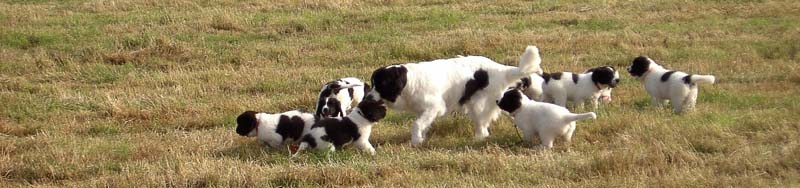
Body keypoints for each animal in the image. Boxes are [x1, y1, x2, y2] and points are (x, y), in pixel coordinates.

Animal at [368, 45, 544, 145]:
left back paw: (477, 139)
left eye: (381, 85)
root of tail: (498, 69)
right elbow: (422, 124)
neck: (409, 81)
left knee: (482, 128)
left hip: (478, 106)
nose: (368, 97)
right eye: (373, 84)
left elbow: (416, 124)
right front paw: (421, 138)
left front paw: (416, 141)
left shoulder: (433, 107)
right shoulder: (424, 111)